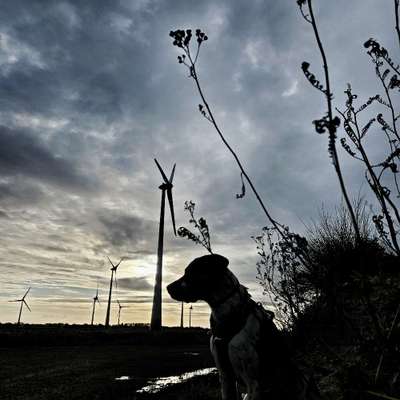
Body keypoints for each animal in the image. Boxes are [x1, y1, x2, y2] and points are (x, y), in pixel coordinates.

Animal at [166, 255, 318, 398]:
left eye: (192, 271)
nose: (167, 288)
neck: (228, 316)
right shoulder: (225, 376)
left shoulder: (253, 383)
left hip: (302, 375)